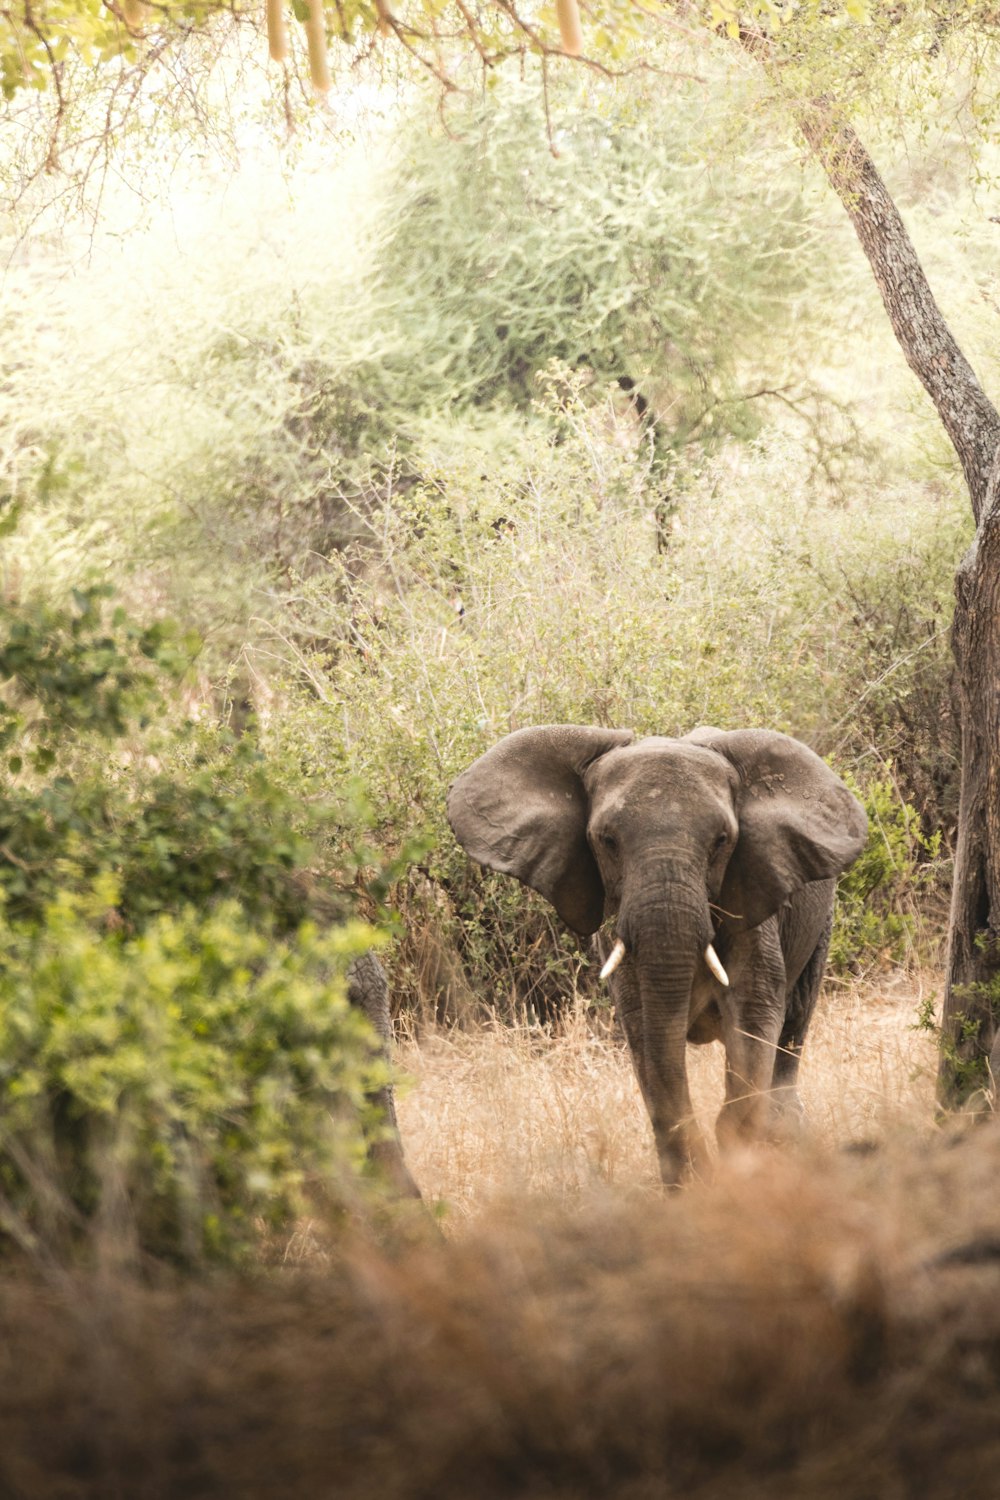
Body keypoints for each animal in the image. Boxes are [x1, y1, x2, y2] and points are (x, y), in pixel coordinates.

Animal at [446, 723, 869, 1182]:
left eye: (723, 840)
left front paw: (740, 1172)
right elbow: (645, 1034)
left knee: (794, 1024)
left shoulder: (755, 909)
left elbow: (754, 1017)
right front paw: (692, 1183)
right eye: (607, 841)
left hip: (820, 923)